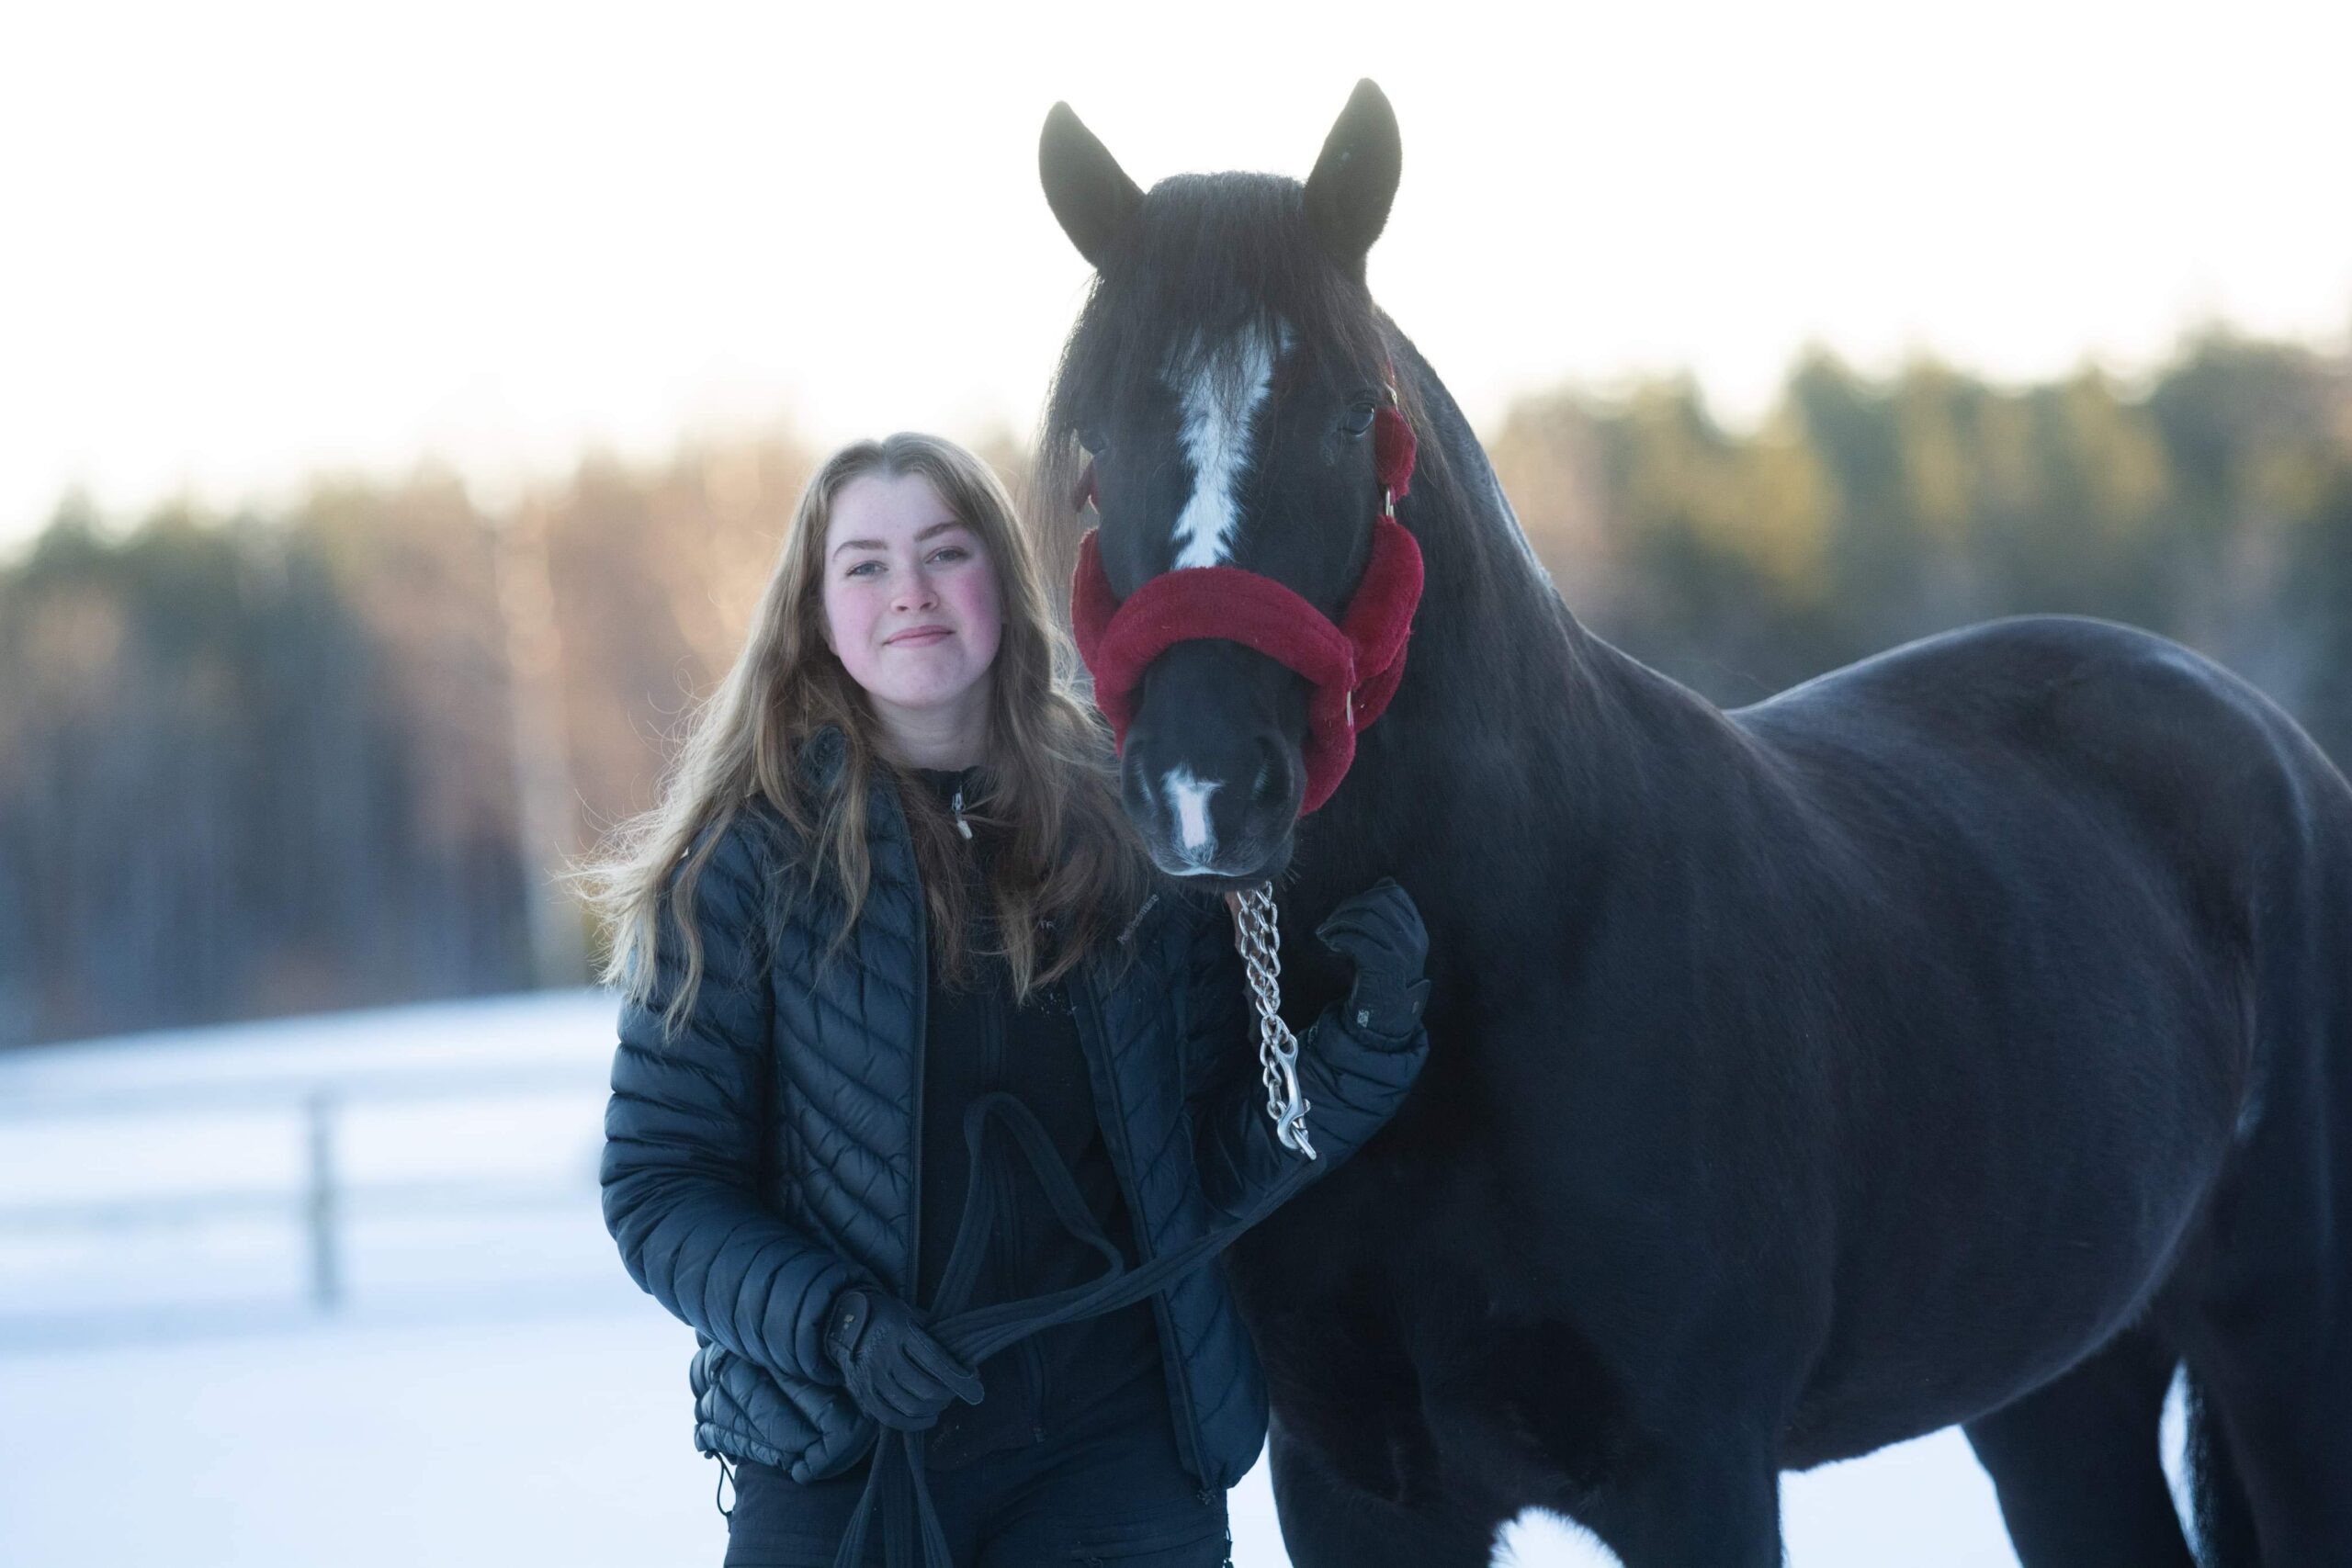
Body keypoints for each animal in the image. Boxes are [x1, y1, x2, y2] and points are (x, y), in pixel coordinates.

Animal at [1039, 83, 2352, 1568]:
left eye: (1349, 414)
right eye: (1095, 442)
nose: (1203, 787)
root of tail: (2257, 729)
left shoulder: (1697, 1470)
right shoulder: (1354, 1484)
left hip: (2290, 1355)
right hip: (2060, 1380)